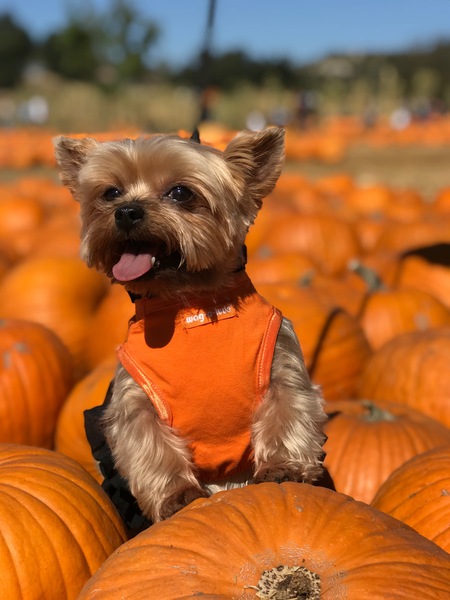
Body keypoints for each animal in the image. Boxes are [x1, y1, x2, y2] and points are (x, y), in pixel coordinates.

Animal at [53, 129, 326, 524]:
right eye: (111, 193)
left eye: (181, 192)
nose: (126, 211)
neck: (190, 305)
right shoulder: (136, 396)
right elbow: (150, 444)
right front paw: (177, 495)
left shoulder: (282, 364)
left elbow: (287, 411)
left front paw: (283, 467)